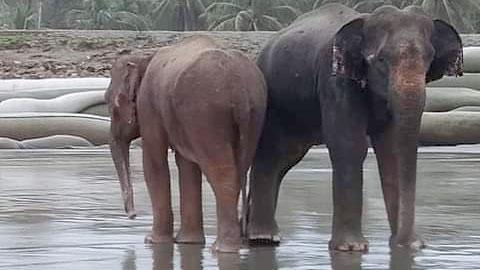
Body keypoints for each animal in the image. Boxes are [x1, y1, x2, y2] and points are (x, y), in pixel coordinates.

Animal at [105, 36, 268, 253]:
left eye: (110, 103)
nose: (132, 215)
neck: (144, 58)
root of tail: (240, 88)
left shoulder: (149, 106)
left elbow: (154, 161)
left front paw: (152, 241)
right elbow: (186, 165)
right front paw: (187, 242)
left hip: (206, 113)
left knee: (223, 174)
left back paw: (221, 249)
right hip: (254, 114)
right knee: (240, 168)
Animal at [248, 3, 462, 251]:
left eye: (429, 58)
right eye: (381, 60)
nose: (407, 243)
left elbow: (391, 152)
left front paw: (406, 245)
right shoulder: (335, 80)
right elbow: (349, 145)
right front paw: (351, 248)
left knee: (286, 159)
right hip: (270, 96)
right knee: (271, 153)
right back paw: (263, 238)